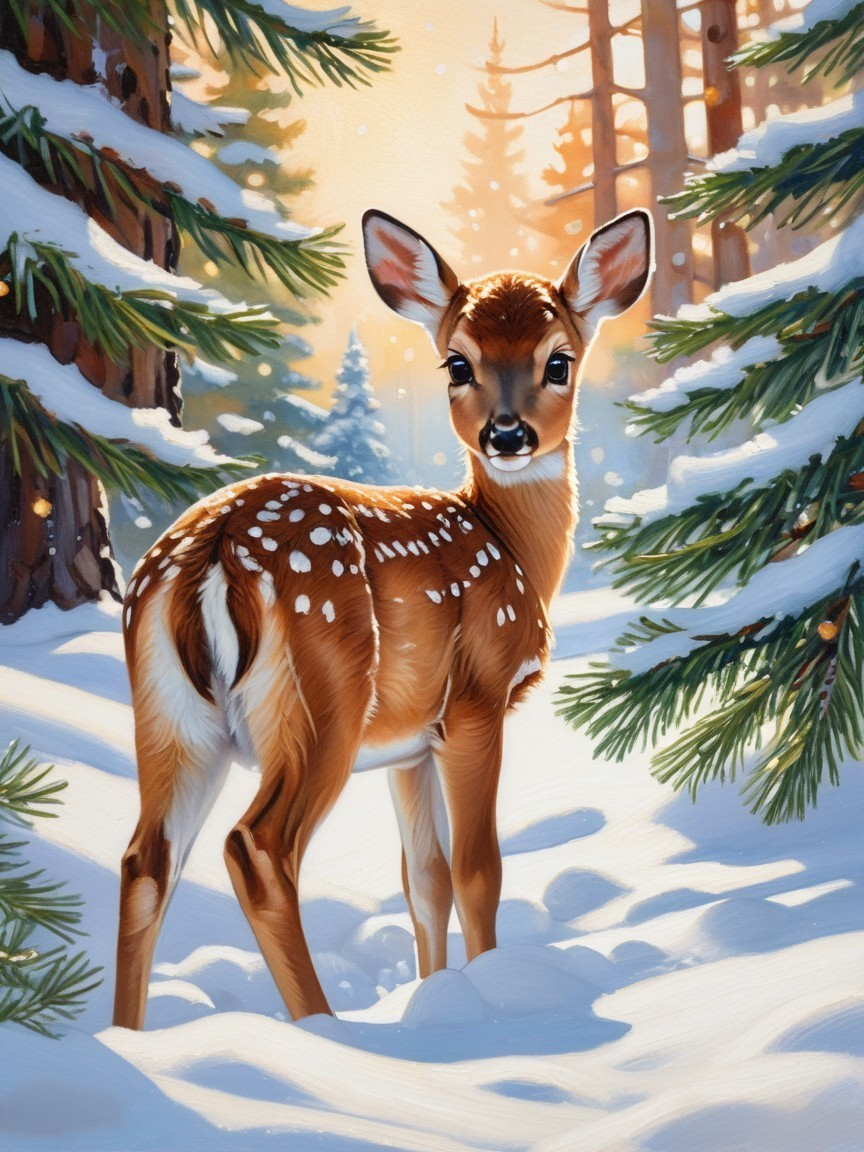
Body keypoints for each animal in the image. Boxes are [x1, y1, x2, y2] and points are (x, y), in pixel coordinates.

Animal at [113, 208, 652, 1030]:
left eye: (559, 361)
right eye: (457, 364)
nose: (507, 435)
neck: (510, 546)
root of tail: (215, 547)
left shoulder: (409, 746)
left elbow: (422, 880)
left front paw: (437, 998)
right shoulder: (474, 702)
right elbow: (477, 871)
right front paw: (493, 996)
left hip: (169, 717)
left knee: (147, 861)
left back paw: (125, 1039)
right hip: (321, 693)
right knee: (257, 847)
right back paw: (321, 1027)